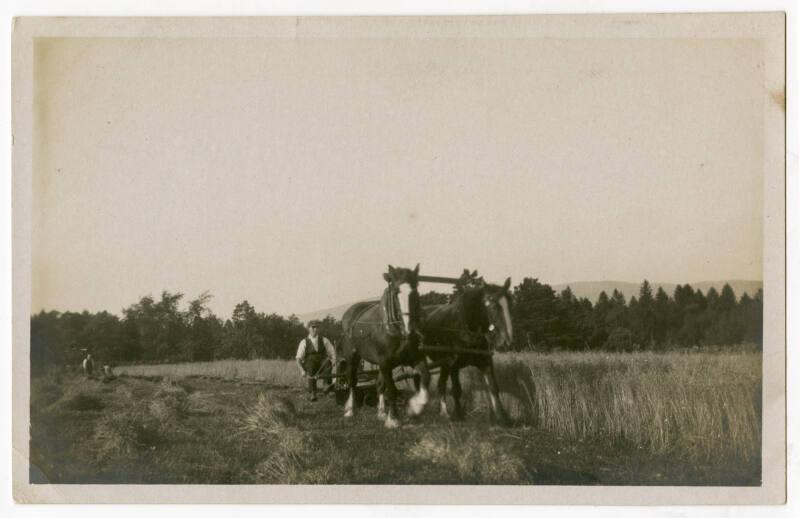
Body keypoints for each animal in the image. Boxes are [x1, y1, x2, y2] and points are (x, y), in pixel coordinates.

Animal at [342, 266, 434, 428]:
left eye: (415, 290)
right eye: (396, 292)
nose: (409, 328)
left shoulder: (414, 358)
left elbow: (426, 377)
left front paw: (414, 407)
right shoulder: (385, 362)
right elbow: (391, 390)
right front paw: (393, 419)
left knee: (379, 385)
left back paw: (381, 413)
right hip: (352, 358)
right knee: (352, 381)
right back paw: (350, 410)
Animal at [422, 280, 516, 426]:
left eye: (510, 305)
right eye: (494, 306)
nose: (506, 343)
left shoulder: (485, 361)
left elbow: (493, 387)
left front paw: (501, 418)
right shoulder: (454, 364)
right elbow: (456, 390)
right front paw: (458, 414)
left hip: (444, 363)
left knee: (441, 384)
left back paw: (443, 412)